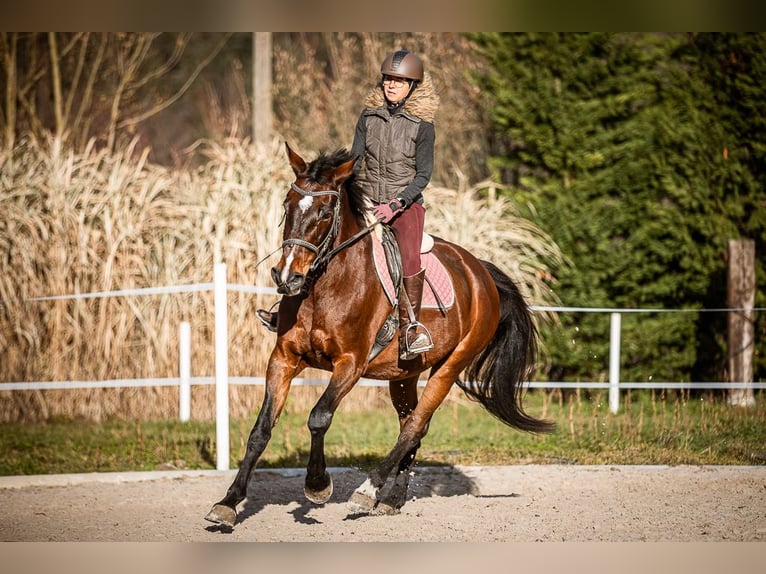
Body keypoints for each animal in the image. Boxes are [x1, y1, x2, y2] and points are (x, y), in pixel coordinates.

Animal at [206, 145, 552, 532]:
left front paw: (317, 486)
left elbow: (318, 417)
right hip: (403, 376)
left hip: (450, 366)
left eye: (325, 212)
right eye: (287, 205)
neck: (326, 286)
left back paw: (368, 489)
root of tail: (480, 271)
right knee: (412, 426)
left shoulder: (351, 363)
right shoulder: (283, 358)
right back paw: (392, 499)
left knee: (414, 425)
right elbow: (261, 430)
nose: (287, 278)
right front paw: (228, 503)